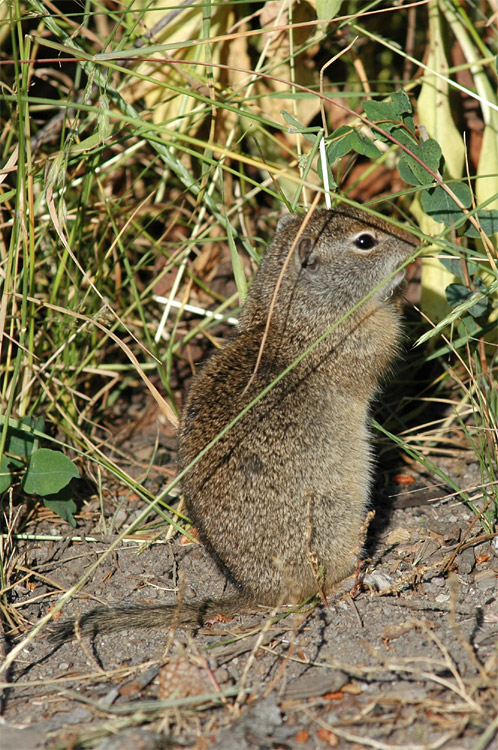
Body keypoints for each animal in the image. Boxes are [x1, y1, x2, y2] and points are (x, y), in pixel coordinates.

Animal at [49, 207, 416, 648]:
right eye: (365, 241)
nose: (416, 245)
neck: (297, 313)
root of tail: (254, 591)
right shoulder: (366, 340)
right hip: (334, 525)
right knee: (321, 588)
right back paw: (367, 578)